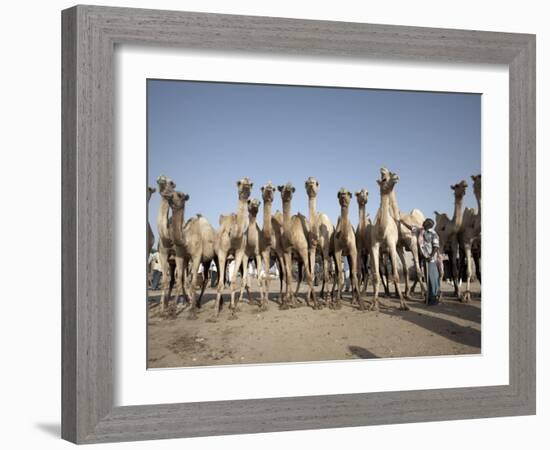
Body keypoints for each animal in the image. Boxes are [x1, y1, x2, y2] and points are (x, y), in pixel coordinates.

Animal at [167, 190, 219, 320]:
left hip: (215, 257)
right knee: (205, 279)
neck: (185, 240)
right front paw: (173, 311)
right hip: (206, 261)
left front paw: (192, 312)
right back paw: (199, 303)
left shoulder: (196, 256)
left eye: (179, 195)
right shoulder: (181, 256)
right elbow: (180, 280)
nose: (168, 195)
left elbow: (194, 281)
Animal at [211, 176, 254, 320]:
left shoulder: (240, 252)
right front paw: (215, 314)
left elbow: (234, 280)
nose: (246, 185)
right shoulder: (222, 252)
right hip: (218, 257)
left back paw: (234, 304)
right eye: (239, 182)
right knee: (221, 279)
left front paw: (233, 311)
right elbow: (220, 283)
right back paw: (219, 305)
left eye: (251, 184)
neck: (233, 235)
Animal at [370, 169, 410, 310]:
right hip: (383, 252)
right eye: (384, 179)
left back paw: (400, 295)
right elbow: (376, 276)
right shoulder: (374, 246)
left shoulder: (392, 245)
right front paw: (374, 304)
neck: (382, 230)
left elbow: (396, 276)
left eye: (391, 173)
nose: (396, 177)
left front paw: (403, 304)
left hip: (395, 249)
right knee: (384, 271)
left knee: (398, 269)